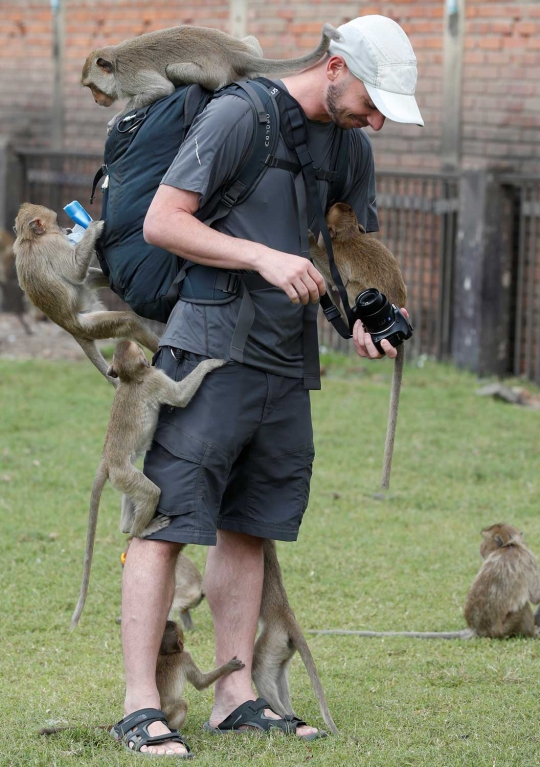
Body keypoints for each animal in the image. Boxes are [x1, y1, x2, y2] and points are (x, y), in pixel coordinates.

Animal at [12, 202, 158, 388]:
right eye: (57, 221)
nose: (65, 229)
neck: (29, 239)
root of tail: (69, 327)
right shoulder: (53, 243)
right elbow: (75, 272)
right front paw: (93, 228)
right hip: (87, 325)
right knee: (129, 321)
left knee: (91, 279)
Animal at [70, 342, 225, 632]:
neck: (131, 378)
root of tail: (107, 460)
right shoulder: (156, 380)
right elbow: (180, 397)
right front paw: (209, 364)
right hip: (124, 474)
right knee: (151, 492)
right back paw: (141, 530)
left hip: (122, 477)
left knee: (135, 490)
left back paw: (126, 526)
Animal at [82, 22, 340, 126]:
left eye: (92, 87)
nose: (95, 99)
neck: (115, 65)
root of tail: (231, 53)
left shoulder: (129, 78)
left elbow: (161, 88)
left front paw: (116, 118)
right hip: (247, 46)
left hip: (212, 74)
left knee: (172, 70)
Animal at [252, 536, 338, 736]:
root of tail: (287, 618)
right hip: (282, 648)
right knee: (277, 673)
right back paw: (289, 715)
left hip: (271, 641)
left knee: (259, 670)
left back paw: (281, 714)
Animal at [308, 520, 540, 640]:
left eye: (485, 541)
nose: (481, 548)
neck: (509, 546)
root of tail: (477, 629)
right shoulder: (528, 559)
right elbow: (535, 597)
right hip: (506, 628)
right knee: (523, 607)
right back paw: (533, 633)